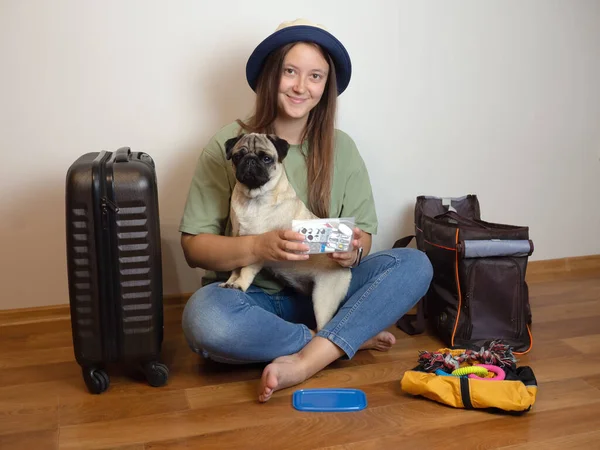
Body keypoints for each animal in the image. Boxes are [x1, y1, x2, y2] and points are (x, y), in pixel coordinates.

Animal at [219, 132, 352, 328]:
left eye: (266, 158)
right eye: (238, 156)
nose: (250, 160)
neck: (253, 199)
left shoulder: (258, 250)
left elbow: (245, 270)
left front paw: (240, 285)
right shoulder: (239, 244)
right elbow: (236, 268)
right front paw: (230, 282)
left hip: (323, 299)